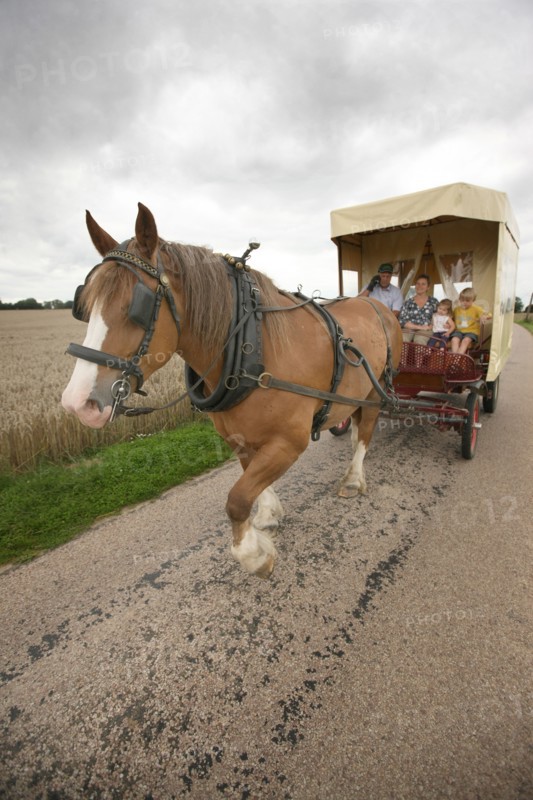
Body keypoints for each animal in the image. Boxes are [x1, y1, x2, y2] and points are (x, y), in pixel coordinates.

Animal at [62, 204, 402, 578]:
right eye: (83, 305)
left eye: (138, 305)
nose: (77, 403)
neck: (253, 348)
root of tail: (376, 306)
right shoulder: (238, 436)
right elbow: (250, 482)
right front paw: (267, 515)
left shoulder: (289, 441)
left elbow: (237, 500)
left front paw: (254, 555)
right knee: (355, 425)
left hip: (376, 391)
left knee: (365, 432)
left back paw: (354, 479)